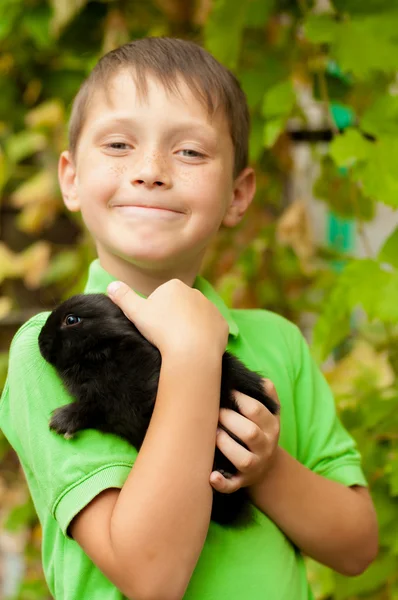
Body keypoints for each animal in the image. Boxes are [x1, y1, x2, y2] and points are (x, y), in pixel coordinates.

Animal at [38, 294, 278, 524]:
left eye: (71, 320)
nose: (41, 340)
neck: (103, 350)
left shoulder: (123, 402)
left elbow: (92, 407)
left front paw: (61, 421)